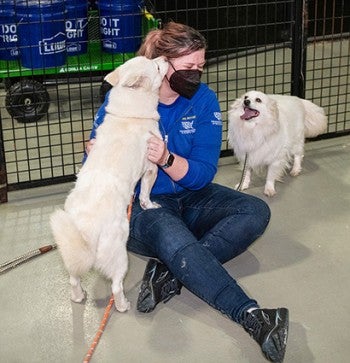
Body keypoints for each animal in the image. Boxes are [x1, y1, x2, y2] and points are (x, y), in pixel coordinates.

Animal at [50, 57, 169, 312]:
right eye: (156, 66)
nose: (164, 58)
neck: (129, 114)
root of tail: (86, 229)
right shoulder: (152, 168)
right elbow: (145, 194)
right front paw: (149, 205)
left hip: (70, 254)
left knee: (73, 278)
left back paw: (78, 296)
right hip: (119, 255)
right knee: (116, 286)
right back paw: (123, 305)